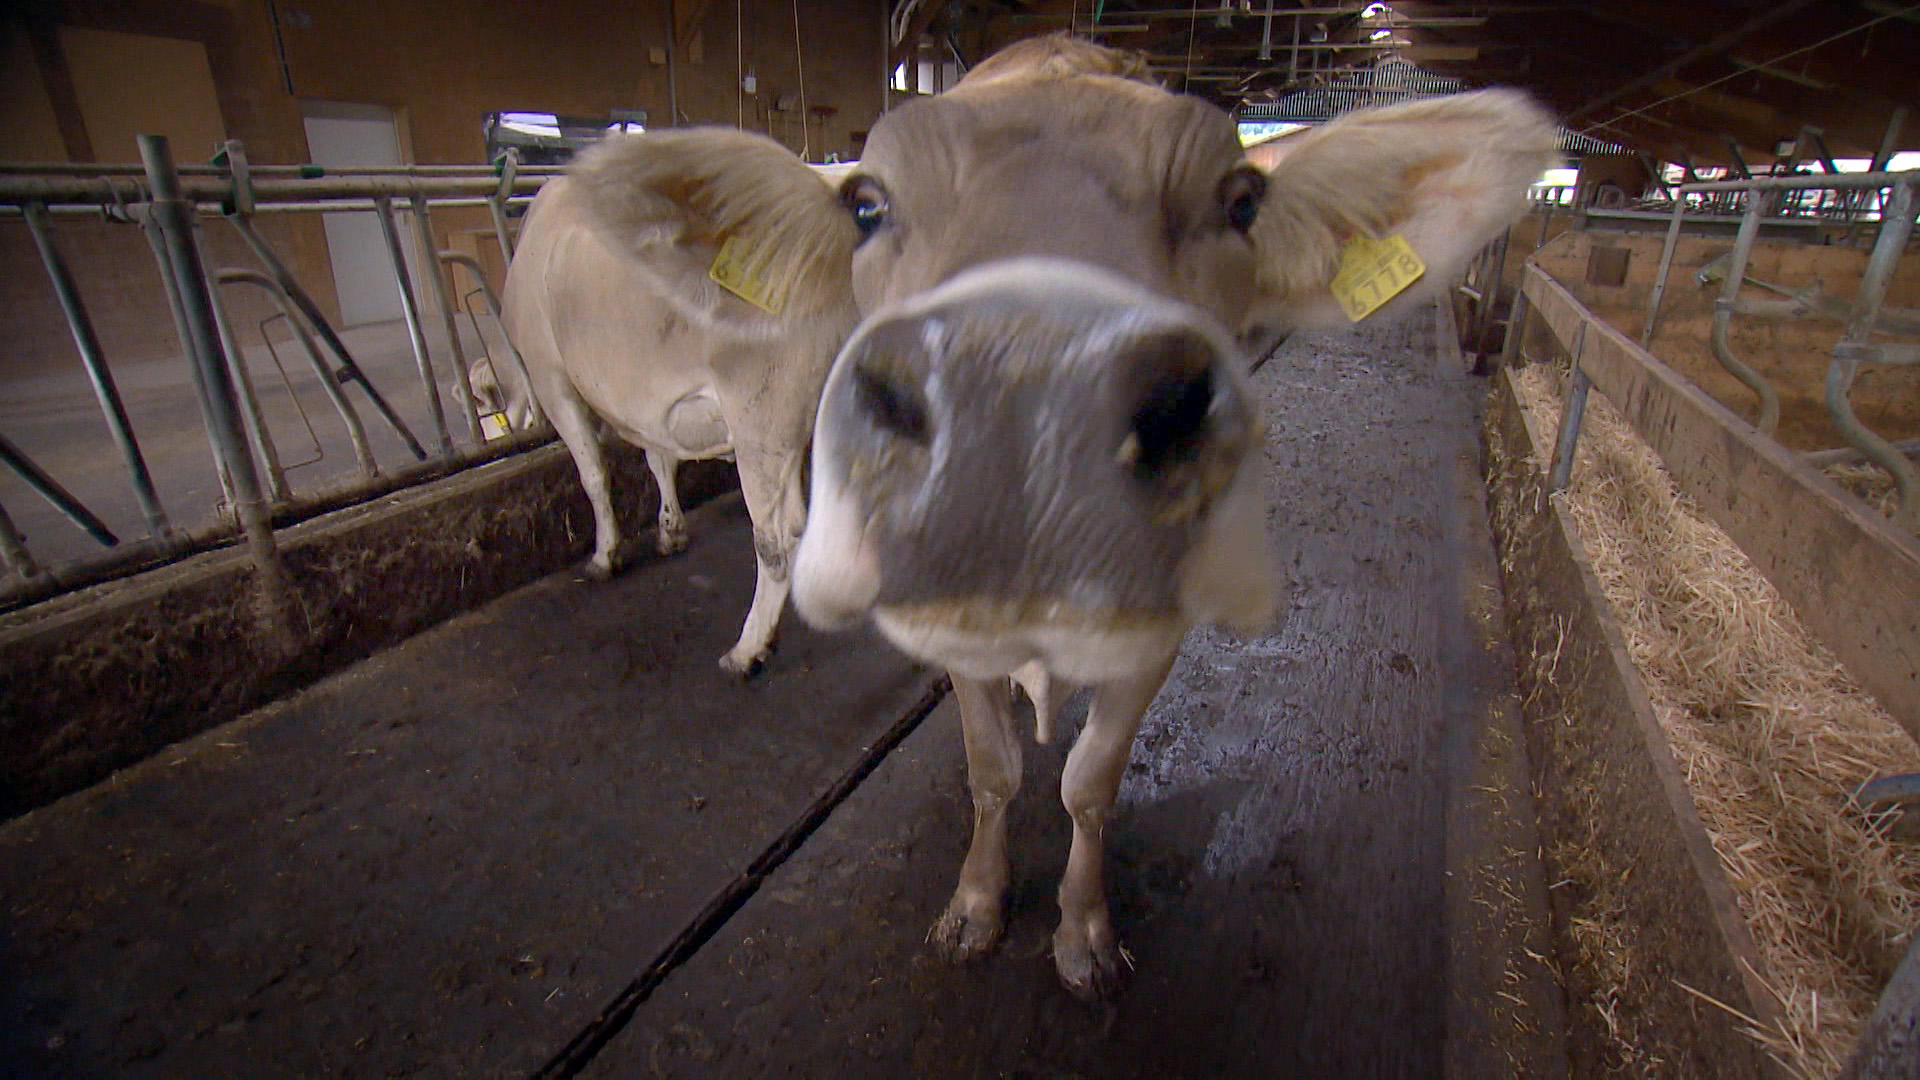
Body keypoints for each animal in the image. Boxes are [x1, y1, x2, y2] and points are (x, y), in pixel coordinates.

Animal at [499, 136, 860, 672]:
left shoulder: (551, 375)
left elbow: (593, 474)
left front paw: (605, 554)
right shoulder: (645, 396)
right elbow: (659, 457)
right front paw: (670, 529)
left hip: (762, 413)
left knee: (777, 538)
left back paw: (748, 647)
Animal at [572, 33, 1559, 991]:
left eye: (1241, 201)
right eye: (866, 204)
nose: (1032, 413)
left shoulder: (1162, 624)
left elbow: (1091, 783)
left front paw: (1083, 932)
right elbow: (992, 770)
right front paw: (976, 904)